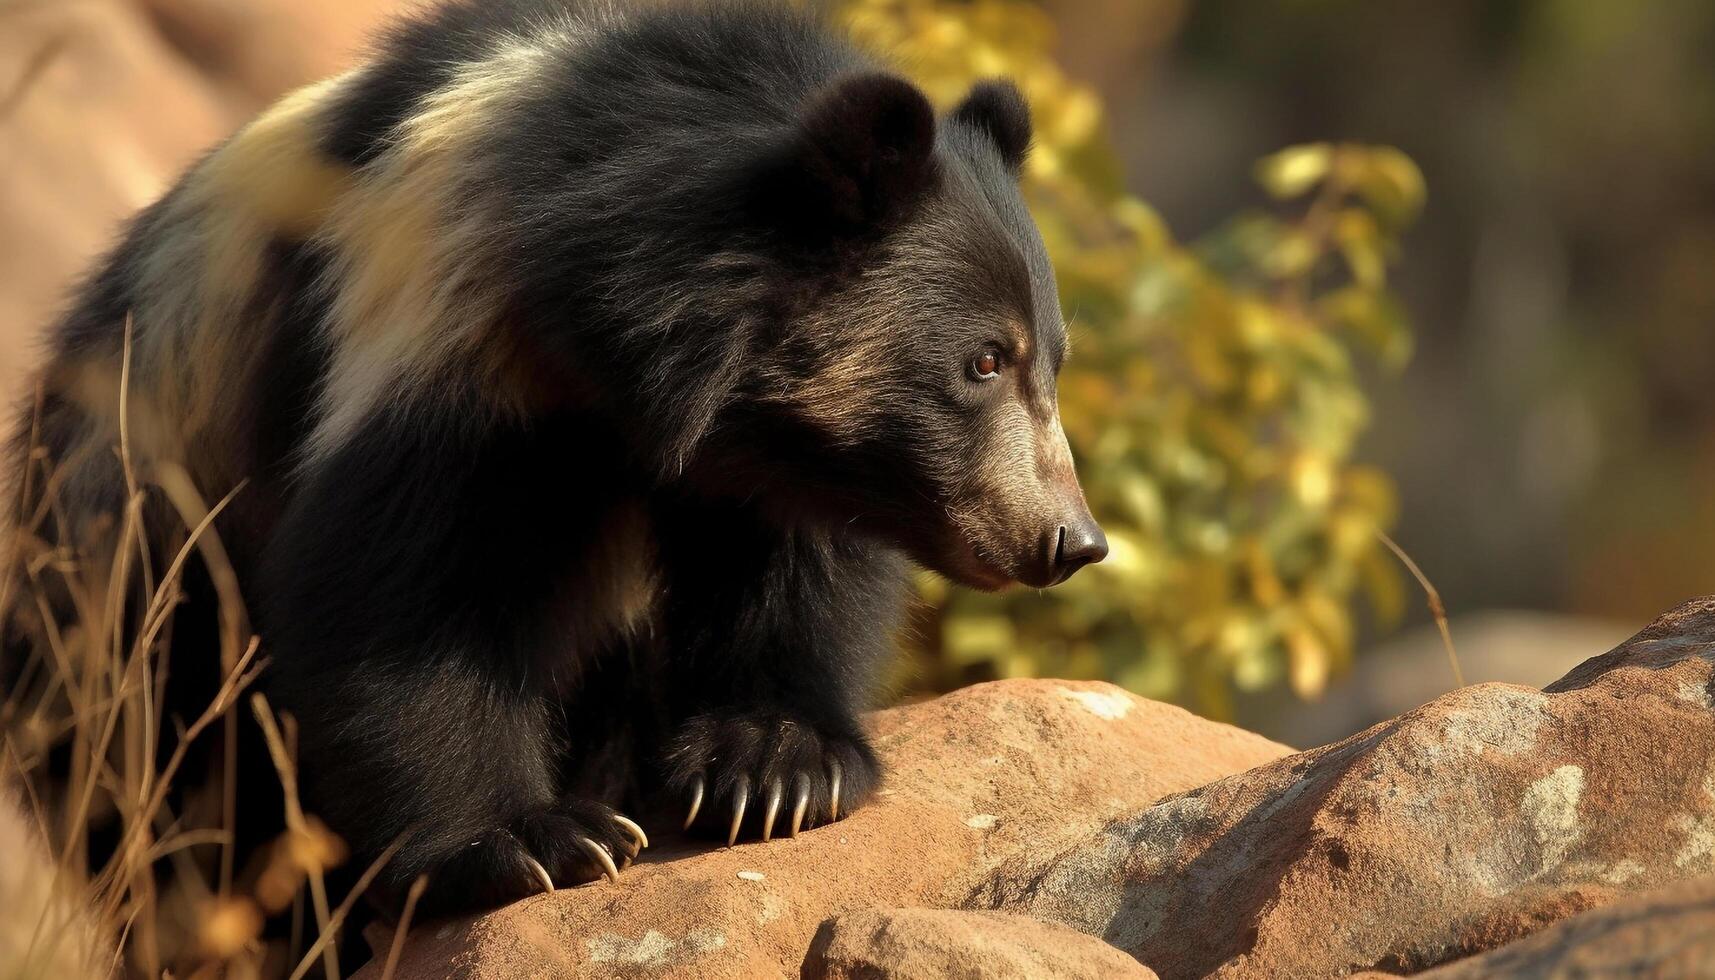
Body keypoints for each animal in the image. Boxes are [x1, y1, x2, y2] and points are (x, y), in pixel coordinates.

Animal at [3, 0, 1111, 919]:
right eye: (983, 360)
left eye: (1050, 359)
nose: (1070, 541)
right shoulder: (447, 326)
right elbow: (410, 589)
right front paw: (536, 841)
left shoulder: (778, 459)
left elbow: (798, 575)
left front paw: (775, 769)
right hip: (136, 579)